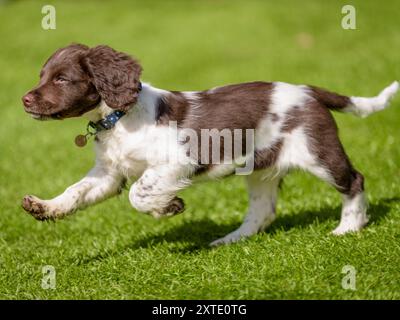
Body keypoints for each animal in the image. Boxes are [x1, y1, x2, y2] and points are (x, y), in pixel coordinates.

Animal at [21, 43, 396, 245]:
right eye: (42, 76)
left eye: (62, 79)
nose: (24, 100)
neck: (118, 119)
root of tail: (308, 90)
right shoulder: (109, 174)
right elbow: (76, 191)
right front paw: (44, 207)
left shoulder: (177, 160)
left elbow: (139, 193)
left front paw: (166, 207)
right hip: (260, 169)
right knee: (263, 209)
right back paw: (231, 239)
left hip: (318, 151)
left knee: (354, 181)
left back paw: (348, 227)